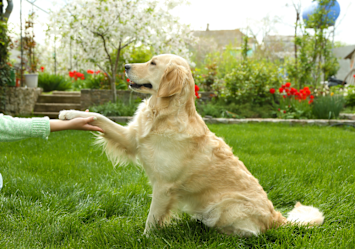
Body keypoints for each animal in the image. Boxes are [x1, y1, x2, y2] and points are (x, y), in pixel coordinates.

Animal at [59, 54, 326, 237]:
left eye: (153, 63)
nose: (125, 66)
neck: (162, 113)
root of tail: (276, 217)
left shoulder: (164, 186)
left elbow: (151, 218)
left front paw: (145, 238)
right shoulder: (131, 139)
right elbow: (98, 116)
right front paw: (68, 114)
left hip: (225, 206)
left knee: (248, 232)